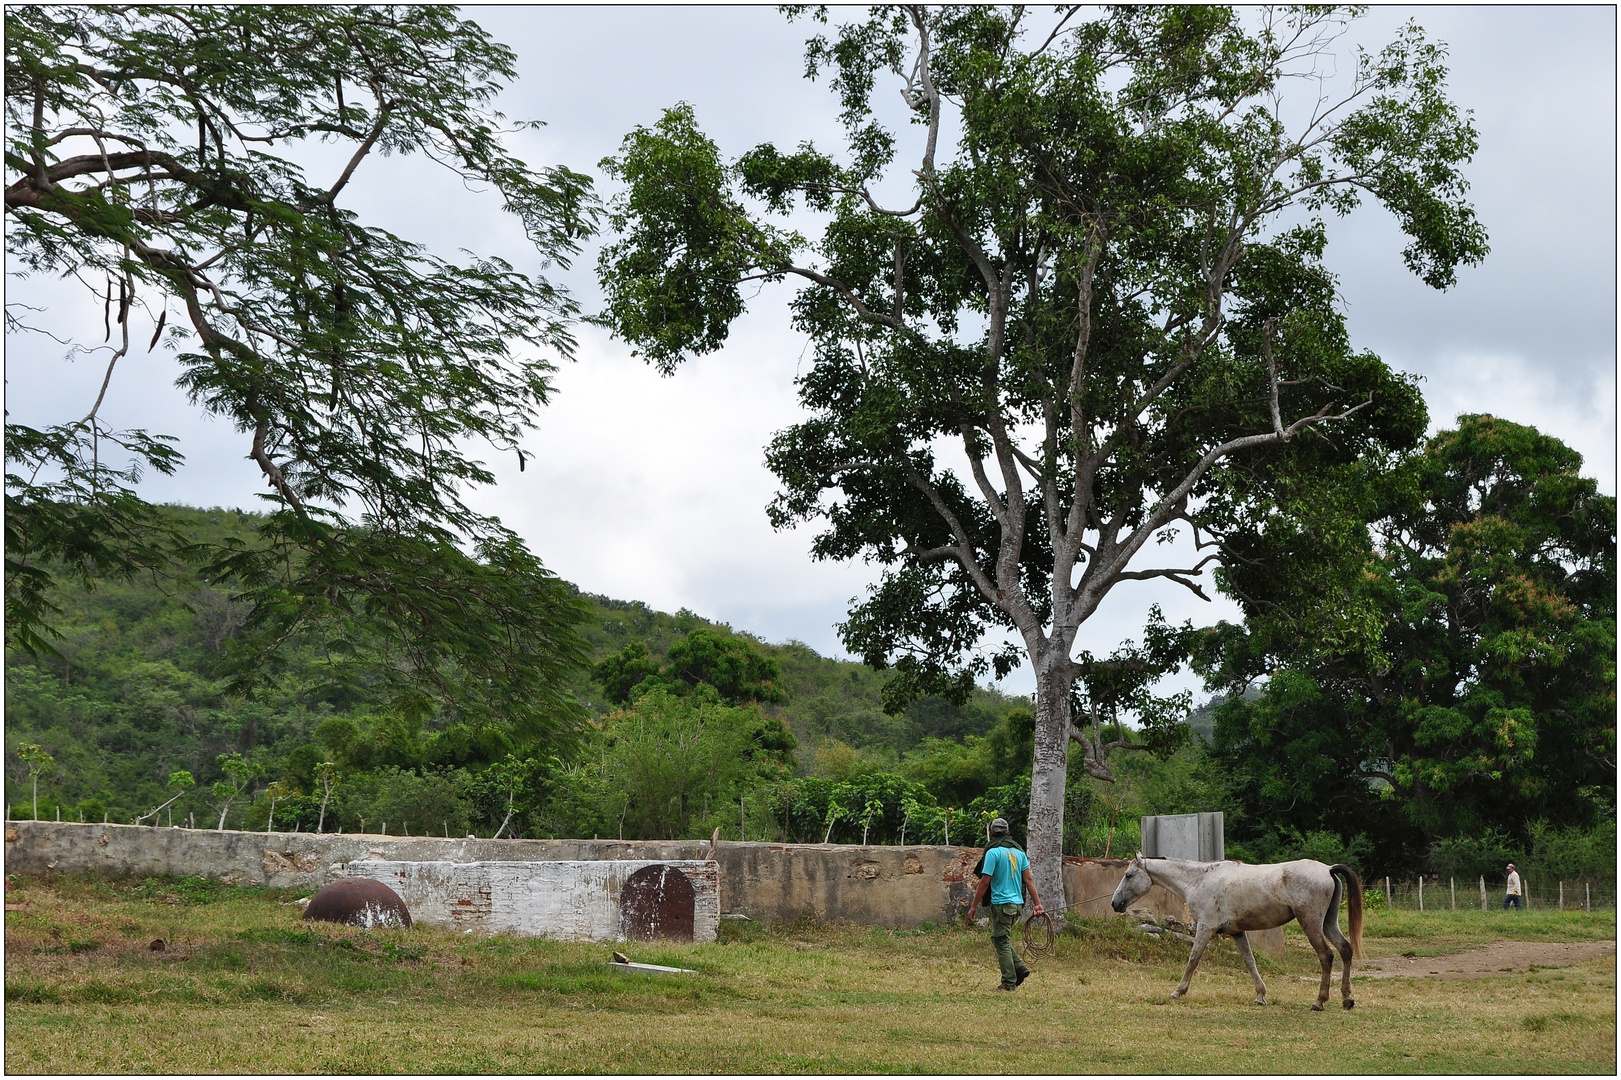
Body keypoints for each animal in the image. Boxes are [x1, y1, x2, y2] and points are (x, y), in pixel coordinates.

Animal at [1108, 856, 1361, 1005]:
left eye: (1128, 875)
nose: (1115, 903)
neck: (1199, 880)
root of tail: (1328, 869)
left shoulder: (1205, 928)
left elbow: (1193, 959)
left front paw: (1178, 992)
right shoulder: (1237, 932)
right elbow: (1250, 962)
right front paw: (1260, 995)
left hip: (1311, 923)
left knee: (1326, 956)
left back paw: (1319, 1001)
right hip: (1328, 923)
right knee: (1345, 950)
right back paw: (1347, 998)